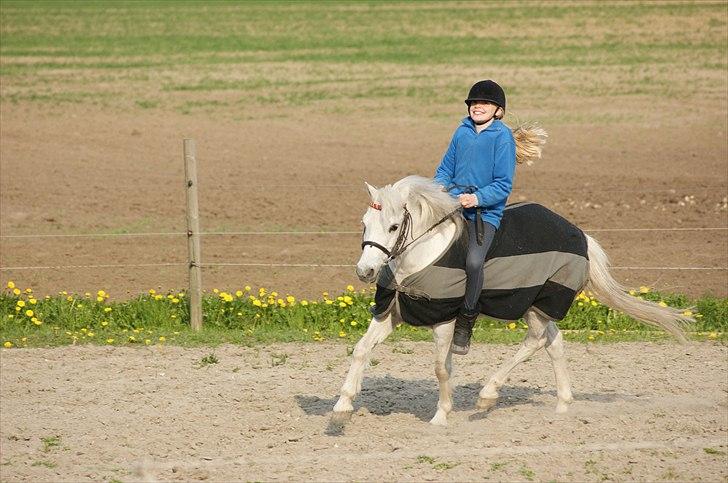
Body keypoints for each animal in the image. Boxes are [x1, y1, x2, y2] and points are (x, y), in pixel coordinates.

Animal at [332, 175, 693, 427]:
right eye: (364, 223)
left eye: (394, 226)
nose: (365, 271)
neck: (420, 256)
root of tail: (581, 236)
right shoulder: (390, 313)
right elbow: (361, 349)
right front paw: (342, 407)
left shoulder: (444, 318)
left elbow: (440, 368)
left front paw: (441, 415)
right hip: (538, 307)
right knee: (554, 341)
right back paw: (562, 404)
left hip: (537, 304)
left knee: (535, 341)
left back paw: (488, 395)